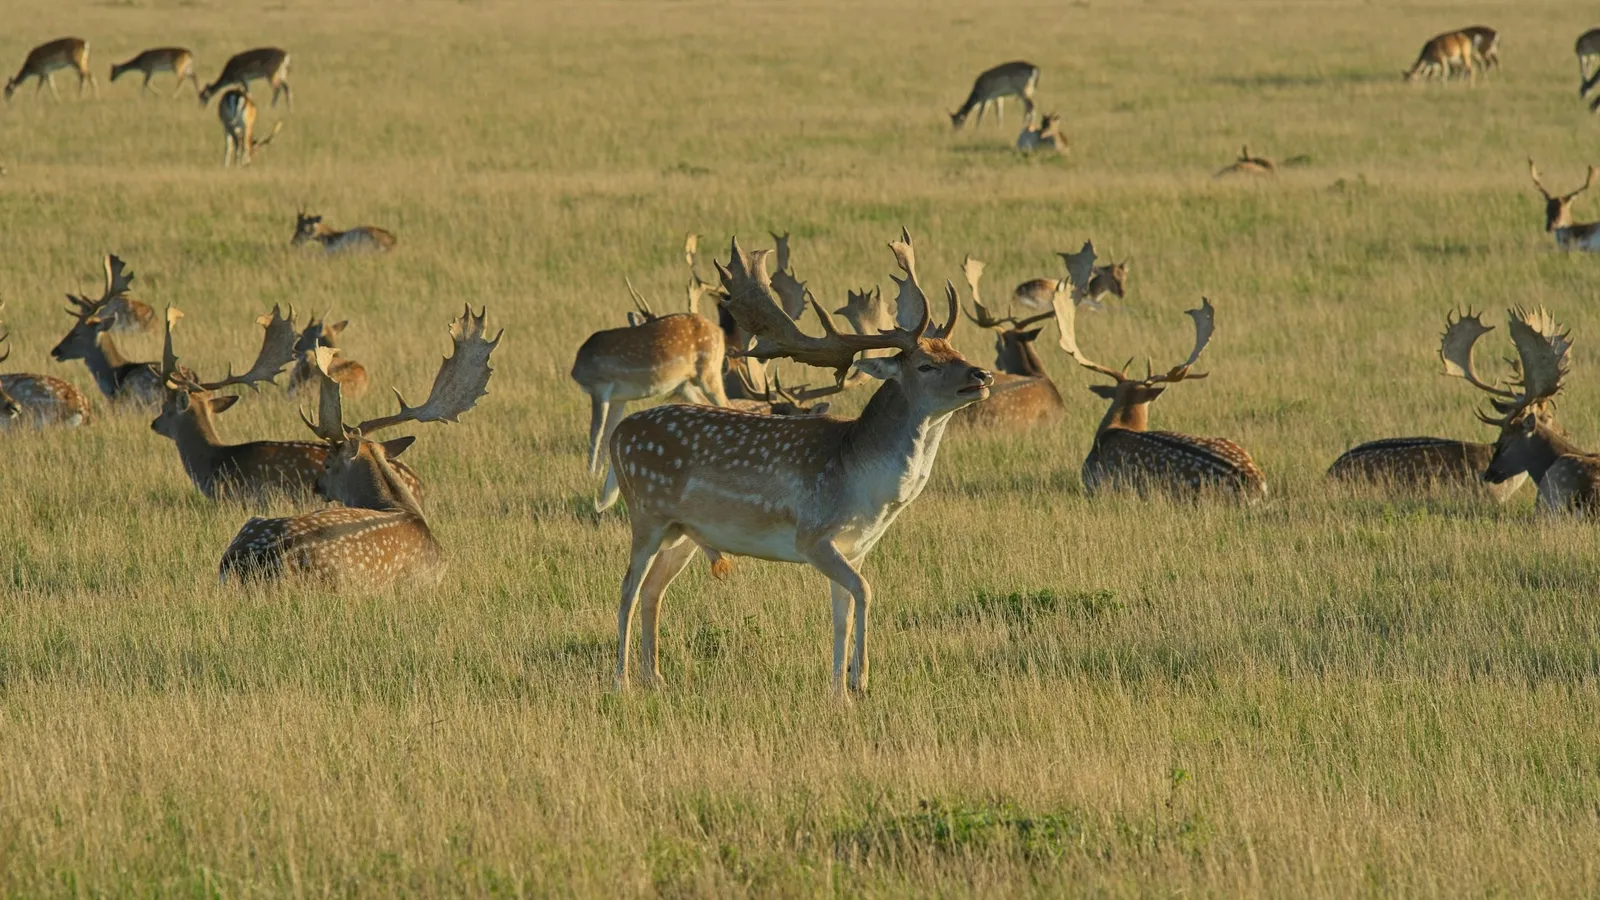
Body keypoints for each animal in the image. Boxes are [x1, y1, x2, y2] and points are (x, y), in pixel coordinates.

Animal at [606, 232, 989, 695]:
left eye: (955, 348)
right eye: (925, 364)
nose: (981, 375)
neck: (867, 486)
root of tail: (618, 435)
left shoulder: (856, 546)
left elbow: (843, 611)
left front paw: (839, 690)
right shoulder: (813, 536)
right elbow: (865, 592)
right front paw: (860, 679)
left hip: (683, 532)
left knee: (652, 589)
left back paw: (656, 677)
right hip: (646, 514)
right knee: (627, 587)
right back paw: (622, 681)